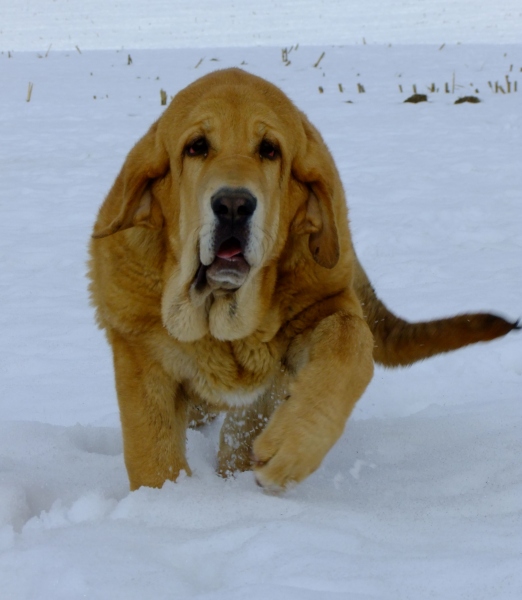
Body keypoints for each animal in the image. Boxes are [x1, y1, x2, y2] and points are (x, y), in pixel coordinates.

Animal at [87, 69, 512, 492]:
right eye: (197, 147)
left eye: (269, 150)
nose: (233, 205)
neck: (221, 314)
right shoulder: (141, 358)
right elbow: (153, 459)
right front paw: (166, 501)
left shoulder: (325, 308)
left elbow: (349, 350)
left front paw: (290, 447)